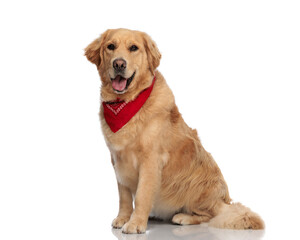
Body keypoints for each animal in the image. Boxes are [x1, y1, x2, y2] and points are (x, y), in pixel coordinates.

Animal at [84, 28, 262, 234]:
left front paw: (136, 223)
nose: (119, 64)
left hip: (195, 184)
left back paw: (183, 217)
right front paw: (123, 218)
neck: (128, 103)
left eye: (134, 48)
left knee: (208, 215)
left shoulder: (151, 160)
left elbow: (143, 194)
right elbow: (125, 196)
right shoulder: (118, 159)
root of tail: (223, 201)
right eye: (110, 46)